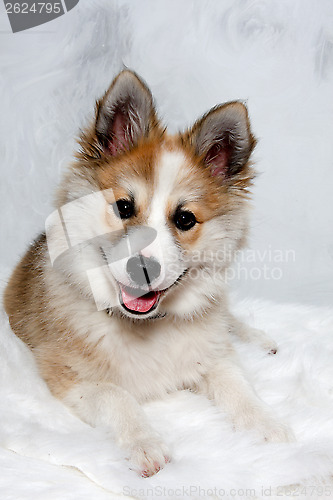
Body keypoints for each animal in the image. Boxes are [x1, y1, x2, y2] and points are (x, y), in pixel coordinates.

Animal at [4, 69, 290, 476]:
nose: (143, 269)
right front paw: (144, 442)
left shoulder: (212, 356)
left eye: (184, 219)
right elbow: (115, 394)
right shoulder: (64, 374)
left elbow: (237, 384)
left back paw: (258, 338)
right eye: (124, 207)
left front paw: (266, 423)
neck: (146, 327)